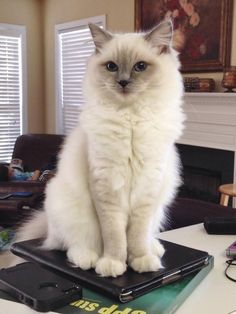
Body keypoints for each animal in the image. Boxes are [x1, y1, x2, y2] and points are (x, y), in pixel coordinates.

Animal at [11, 20, 185, 278]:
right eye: (112, 67)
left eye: (140, 67)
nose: (123, 82)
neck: (130, 119)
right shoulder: (106, 187)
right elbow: (115, 236)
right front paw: (114, 264)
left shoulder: (147, 189)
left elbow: (137, 236)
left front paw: (140, 260)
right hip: (67, 207)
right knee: (67, 245)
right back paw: (87, 259)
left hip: (159, 206)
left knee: (149, 234)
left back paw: (155, 250)